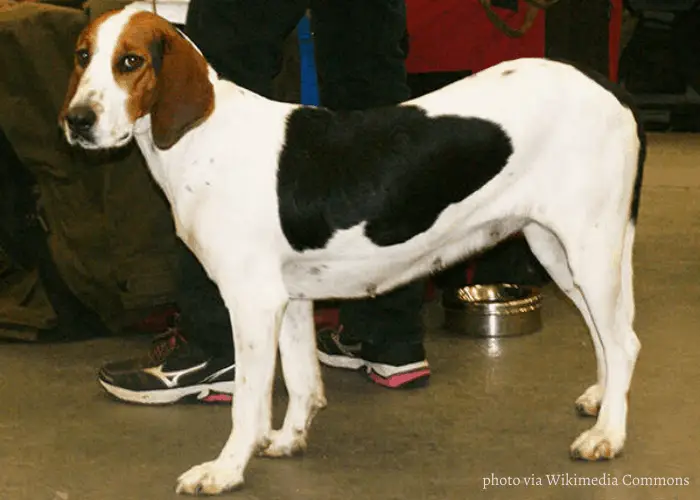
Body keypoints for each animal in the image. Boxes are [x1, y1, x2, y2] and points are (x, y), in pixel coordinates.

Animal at [58, 4, 644, 496]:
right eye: (83, 56)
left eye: (131, 61)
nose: (77, 121)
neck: (201, 140)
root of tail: (608, 87)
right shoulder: (289, 300)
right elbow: (301, 382)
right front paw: (288, 439)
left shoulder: (250, 302)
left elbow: (247, 402)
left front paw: (225, 470)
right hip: (559, 251)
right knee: (605, 333)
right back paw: (601, 400)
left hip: (590, 248)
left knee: (624, 343)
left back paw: (608, 436)